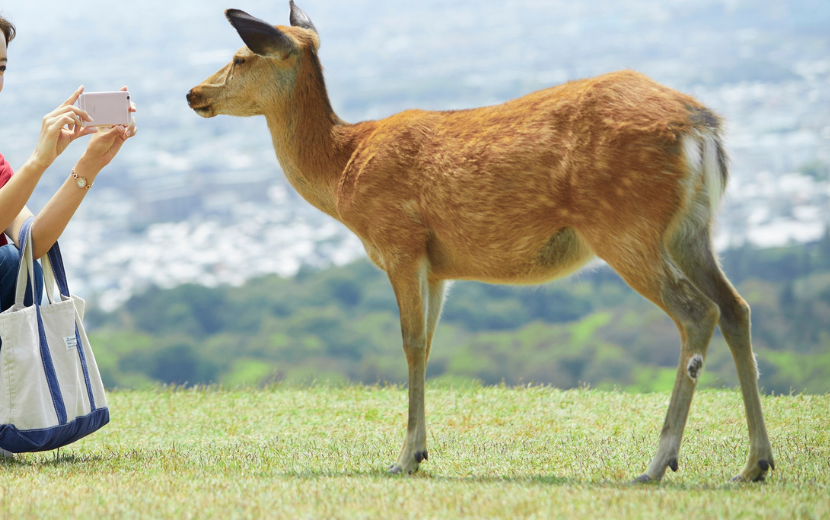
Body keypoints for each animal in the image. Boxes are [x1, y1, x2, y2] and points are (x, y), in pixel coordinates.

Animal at [187, 2, 774, 483]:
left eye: (240, 57)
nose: (194, 93)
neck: (344, 170)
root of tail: (701, 128)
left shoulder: (398, 242)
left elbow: (410, 342)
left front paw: (405, 458)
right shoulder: (439, 265)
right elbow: (429, 343)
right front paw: (421, 450)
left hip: (624, 226)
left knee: (697, 312)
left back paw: (657, 464)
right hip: (691, 229)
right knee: (737, 306)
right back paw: (754, 464)